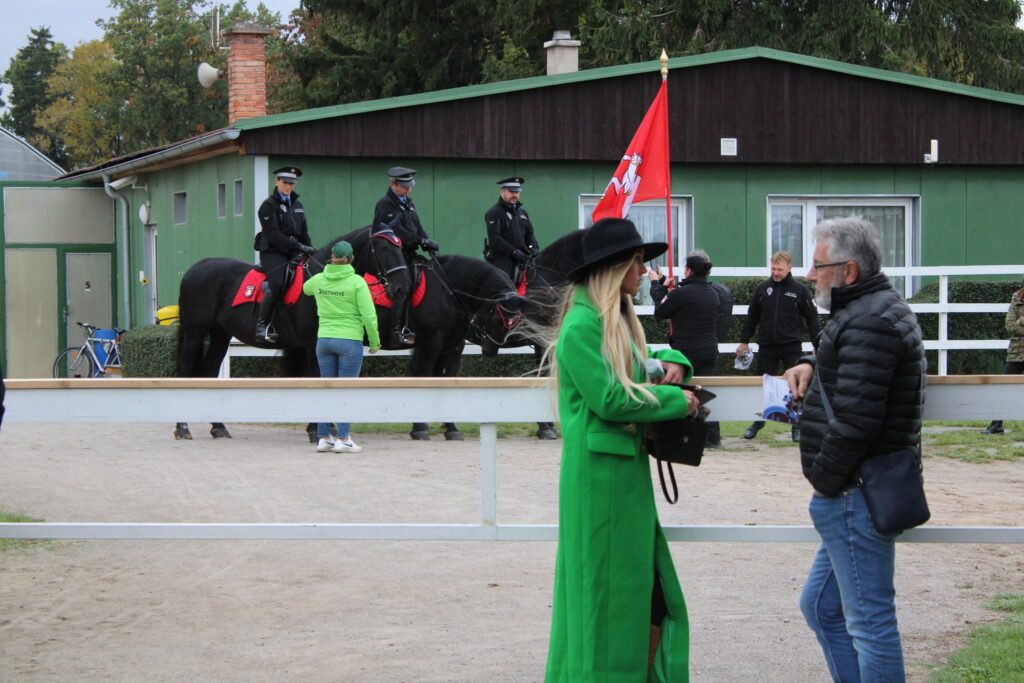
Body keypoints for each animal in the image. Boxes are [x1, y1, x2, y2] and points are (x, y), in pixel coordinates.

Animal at [173, 226, 411, 440]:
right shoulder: (311, 344)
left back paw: (218, 427)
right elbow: (316, 378)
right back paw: (183, 428)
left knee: (209, 372)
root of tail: (195, 268)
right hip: (194, 333)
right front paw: (316, 430)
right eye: (383, 248)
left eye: (400, 248)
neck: (327, 277)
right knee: (185, 372)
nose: (402, 288)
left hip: (221, 334)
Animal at [401, 254, 526, 440]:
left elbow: (448, 379)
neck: (447, 293)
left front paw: (451, 428)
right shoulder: (429, 343)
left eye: (514, 323)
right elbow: (422, 376)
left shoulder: (453, 346)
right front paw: (419, 428)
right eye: (498, 318)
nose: (490, 351)